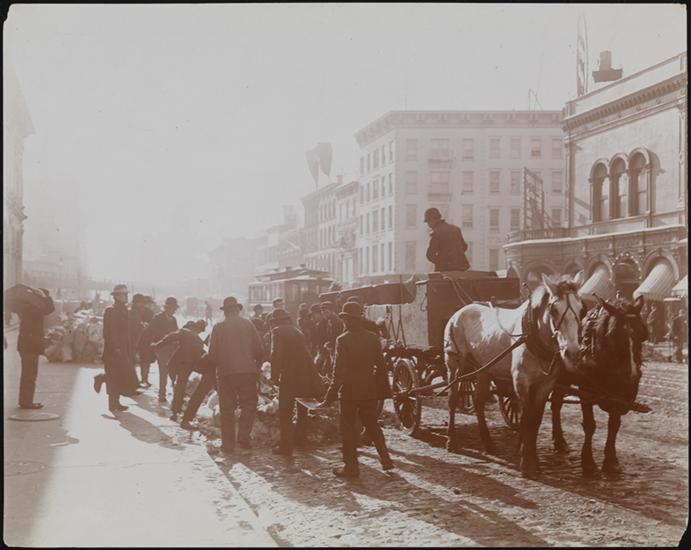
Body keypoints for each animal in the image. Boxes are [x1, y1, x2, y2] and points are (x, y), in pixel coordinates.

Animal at [444, 273, 585, 479]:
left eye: (581, 309)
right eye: (554, 310)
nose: (572, 353)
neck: (533, 335)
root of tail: (459, 312)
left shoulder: (545, 385)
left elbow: (535, 420)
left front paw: (534, 461)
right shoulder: (521, 381)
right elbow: (526, 418)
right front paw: (526, 462)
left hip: (484, 369)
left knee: (478, 401)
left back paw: (488, 442)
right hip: (455, 364)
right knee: (453, 399)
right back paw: (451, 440)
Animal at [550, 295, 647, 476]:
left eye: (643, 334)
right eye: (614, 334)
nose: (632, 376)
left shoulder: (618, 397)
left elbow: (614, 425)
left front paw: (611, 461)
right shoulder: (586, 392)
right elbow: (590, 425)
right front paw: (588, 462)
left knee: (556, 403)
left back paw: (559, 441)